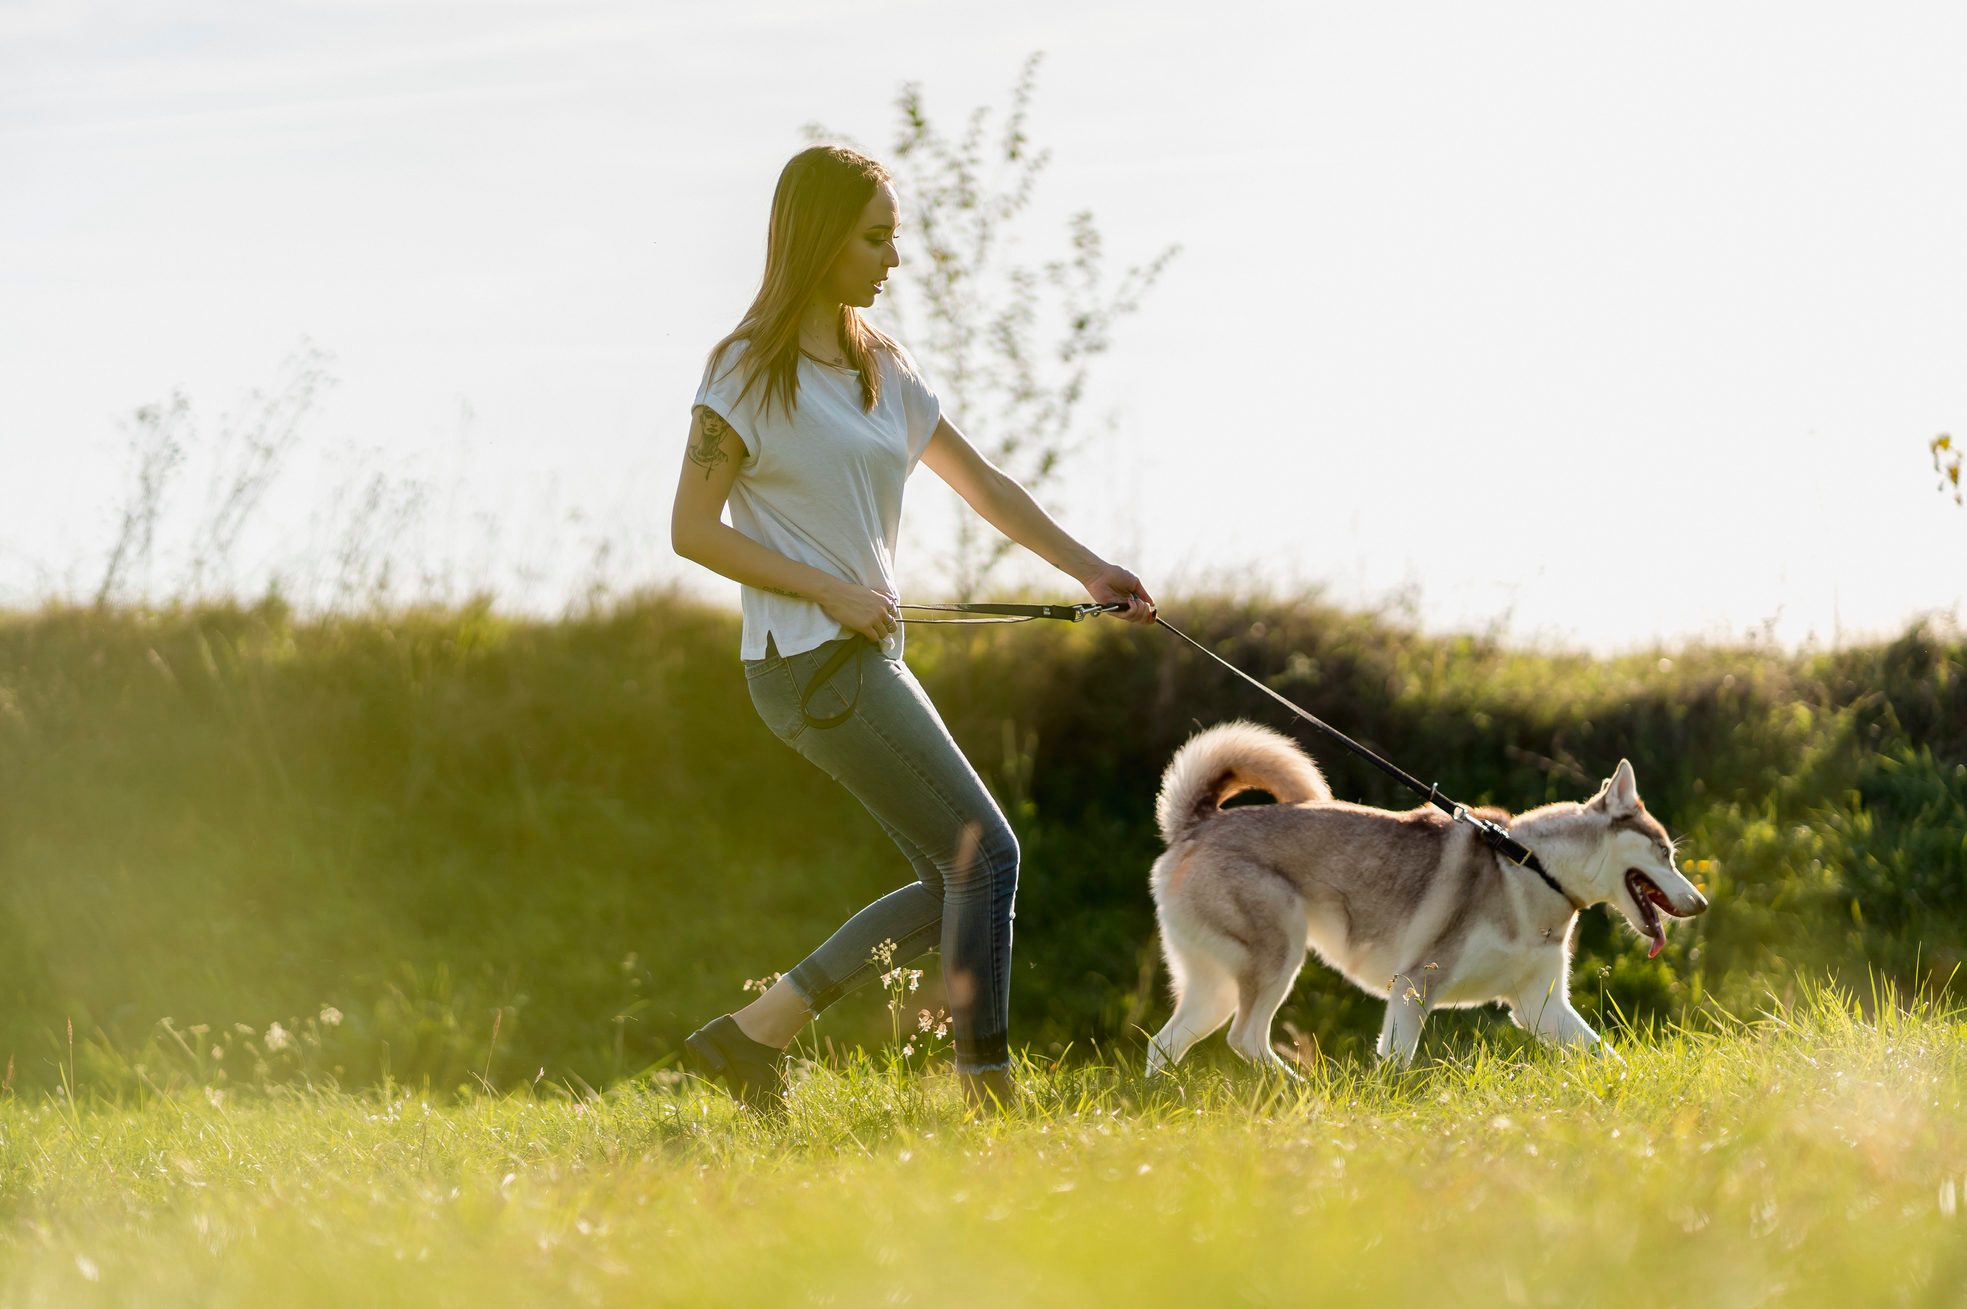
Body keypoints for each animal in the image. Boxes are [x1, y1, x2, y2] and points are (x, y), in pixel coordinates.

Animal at [1140, 720, 1707, 1070]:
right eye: (1664, 853)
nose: (1700, 904)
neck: (1531, 868)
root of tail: (1197, 825)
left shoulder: (1540, 1007)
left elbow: (1606, 1055)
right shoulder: (1415, 986)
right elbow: (1396, 1064)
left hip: (1215, 988)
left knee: (1163, 1045)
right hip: (1277, 958)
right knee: (1244, 1038)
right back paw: (1303, 1091)